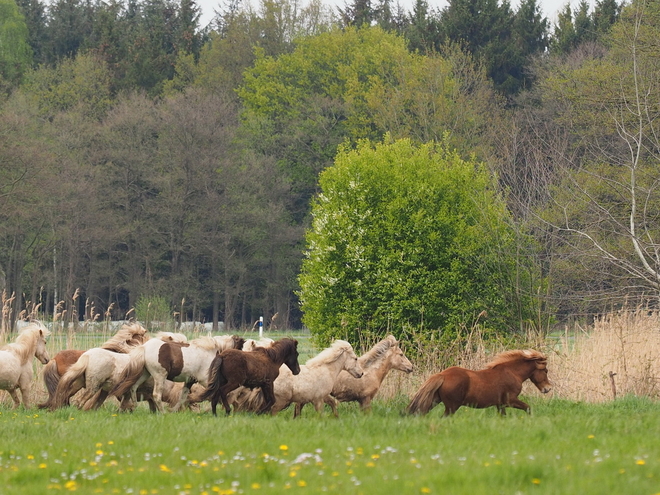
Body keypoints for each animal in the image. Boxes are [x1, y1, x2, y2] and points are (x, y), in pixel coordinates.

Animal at [408, 348, 552, 418]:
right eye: (545, 370)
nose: (548, 389)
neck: (512, 372)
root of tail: (442, 375)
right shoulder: (510, 400)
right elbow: (528, 408)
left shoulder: (500, 405)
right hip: (452, 406)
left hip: (435, 400)